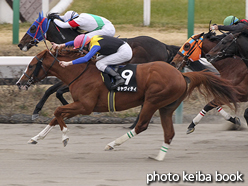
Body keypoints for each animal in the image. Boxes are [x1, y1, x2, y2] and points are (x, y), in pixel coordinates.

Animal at [15, 48, 238, 161]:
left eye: (32, 65)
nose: (19, 83)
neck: (80, 72)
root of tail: (181, 74)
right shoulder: (79, 104)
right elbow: (56, 115)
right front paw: (35, 138)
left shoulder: (85, 106)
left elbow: (57, 110)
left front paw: (65, 137)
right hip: (166, 107)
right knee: (169, 133)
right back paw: (158, 157)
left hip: (152, 100)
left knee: (142, 125)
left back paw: (113, 144)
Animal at [17, 12, 180, 126]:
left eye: (32, 27)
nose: (20, 44)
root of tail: (163, 45)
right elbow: (53, 91)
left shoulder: (77, 74)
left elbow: (54, 90)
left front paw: (38, 111)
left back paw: (135, 123)